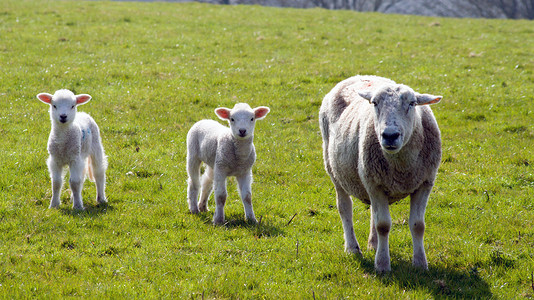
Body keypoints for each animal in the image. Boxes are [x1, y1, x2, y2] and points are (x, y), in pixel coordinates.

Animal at [318, 75, 444, 272]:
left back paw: (374, 244)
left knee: (373, 212)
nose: (390, 135)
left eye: (412, 103)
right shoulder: (374, 185)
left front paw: (420, 264)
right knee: (345, 208)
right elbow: (383, 225)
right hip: (335, 170)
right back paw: (352, 248)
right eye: (375, 103)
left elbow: (418, 225)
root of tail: (358, 76)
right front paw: (382, 265)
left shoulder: (424, 183)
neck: (402, 167)